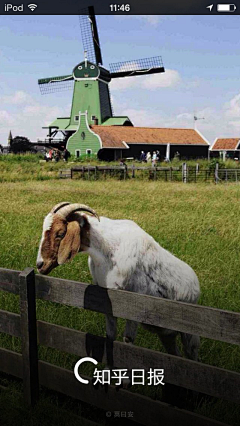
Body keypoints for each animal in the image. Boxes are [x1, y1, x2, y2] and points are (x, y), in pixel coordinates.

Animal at [36, 201, 201, 362]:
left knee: (191, 354)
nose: (40, 265)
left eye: (60, 233)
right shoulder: (108, 304)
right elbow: (110, 337)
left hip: (189, 334)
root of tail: (196, 286)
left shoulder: (135, 306)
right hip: (166, 333)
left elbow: (128, 341)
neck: (107, 250)